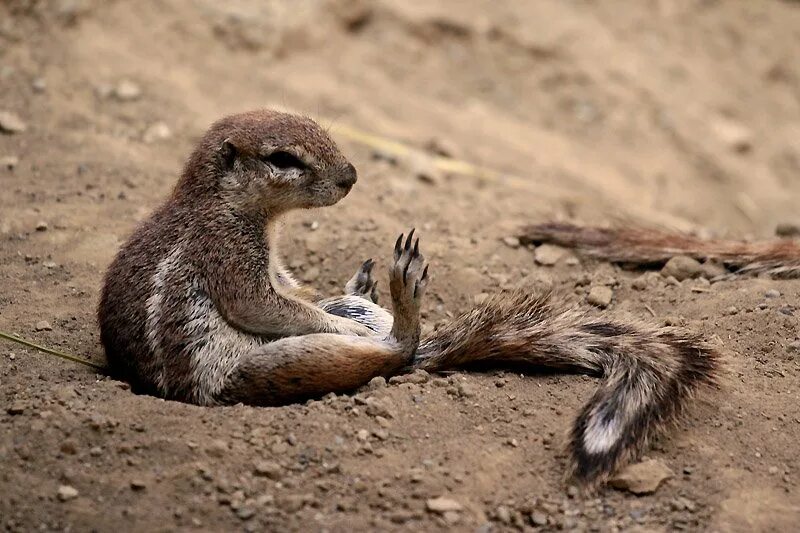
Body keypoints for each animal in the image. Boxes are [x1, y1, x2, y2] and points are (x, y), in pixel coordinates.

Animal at [98, 110, 720, 484]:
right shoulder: (229, 254)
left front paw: (335, 297)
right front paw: (340, 319)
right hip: (272, 368)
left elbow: (295, 291)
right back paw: (398, 296)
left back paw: (364, 292)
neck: (225, 202)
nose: (351, 175)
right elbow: (263, 303)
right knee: (394, 351)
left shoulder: (277, 265)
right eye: (282, 159)